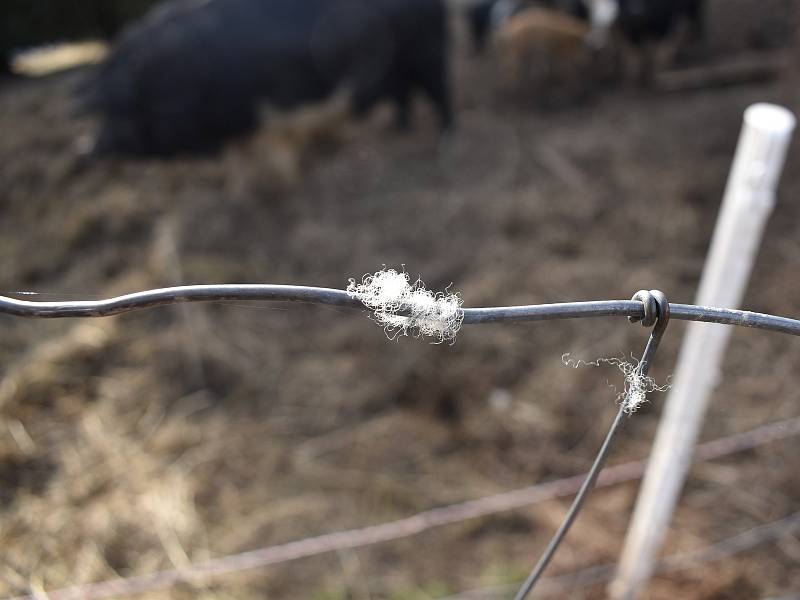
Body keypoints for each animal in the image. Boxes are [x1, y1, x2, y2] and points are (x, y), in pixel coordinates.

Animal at [78, 0, 454, 157]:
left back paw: (446, 138)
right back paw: (399, 131)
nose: (85, 149)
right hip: (404, 65)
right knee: (402, 96)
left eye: (118, 107)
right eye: (105, 106)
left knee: (441, 90)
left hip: (430, 52)